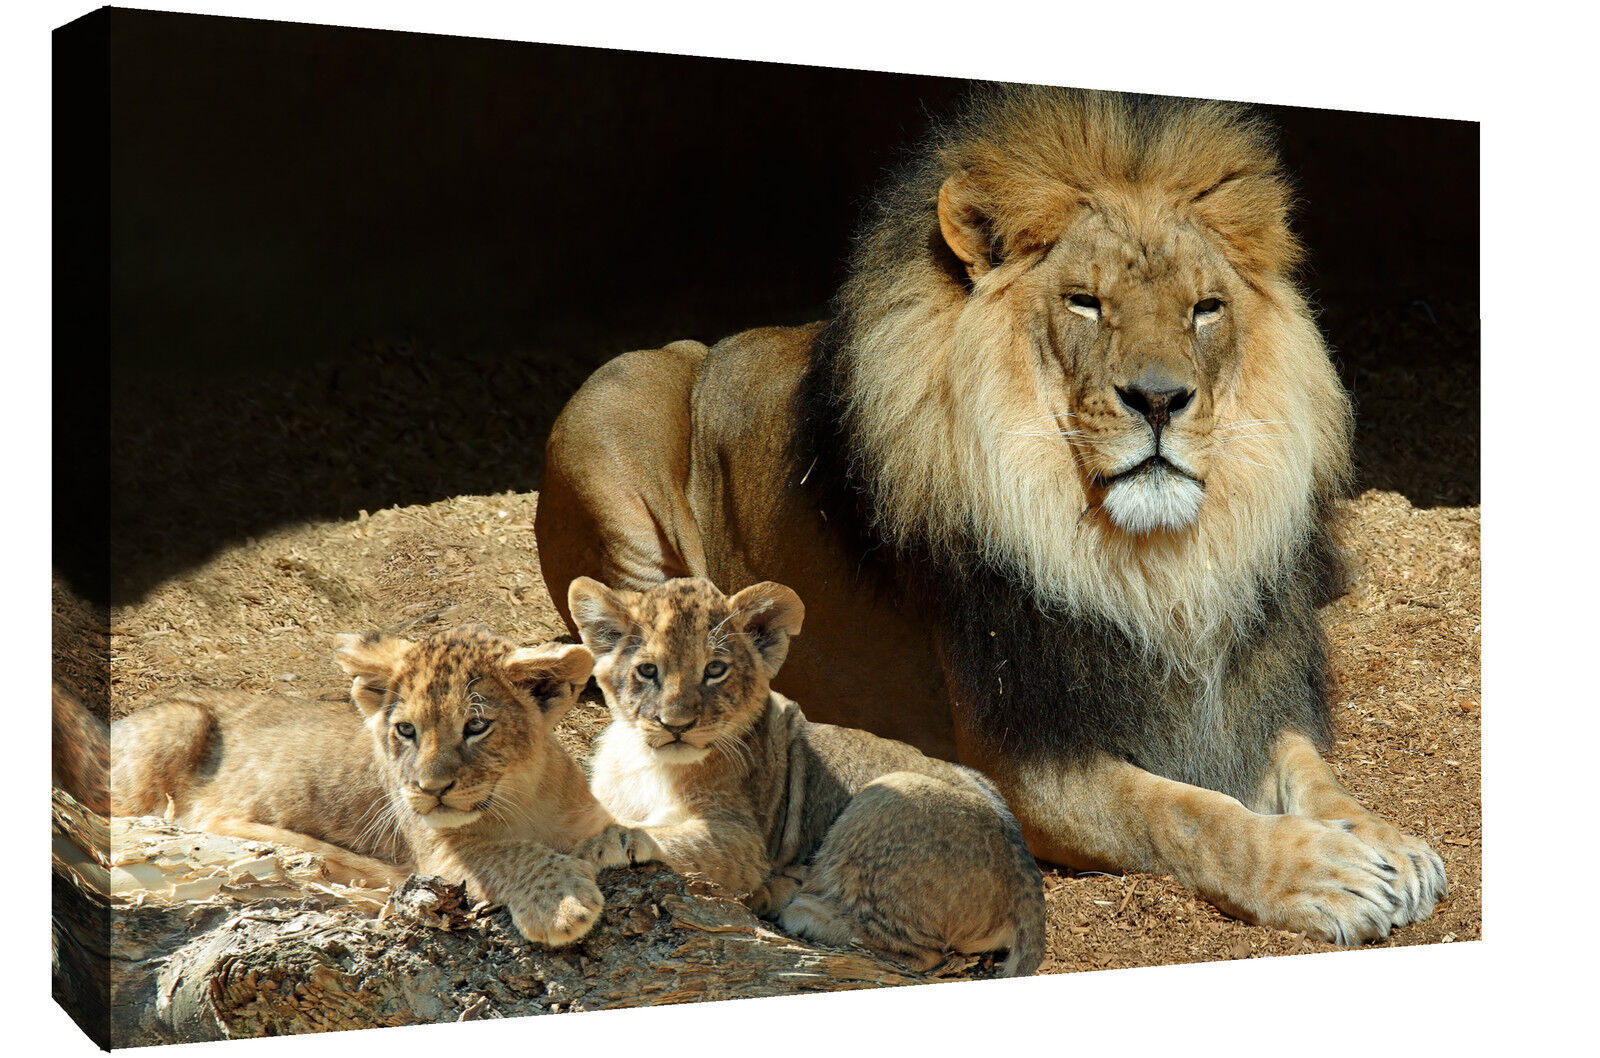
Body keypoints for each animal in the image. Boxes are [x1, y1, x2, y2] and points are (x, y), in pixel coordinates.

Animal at [111, 627, 654, 946]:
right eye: (406, 730)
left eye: (477, 726)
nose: (431, 788)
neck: (522, 799)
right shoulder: (436, 854)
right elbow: (504, 854)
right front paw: (561, 903)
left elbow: (616, 825)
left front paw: (627, 839)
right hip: (179, 721)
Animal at [568, 574, 1045, 976]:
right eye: (647, 670)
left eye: (715, 669)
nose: (676, 725)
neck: (643, 761)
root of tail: (1026, 873)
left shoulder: (744, 841)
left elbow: (666, 835)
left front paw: (604, 842)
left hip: (889, 794)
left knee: (923, 953)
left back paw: (797, 909)